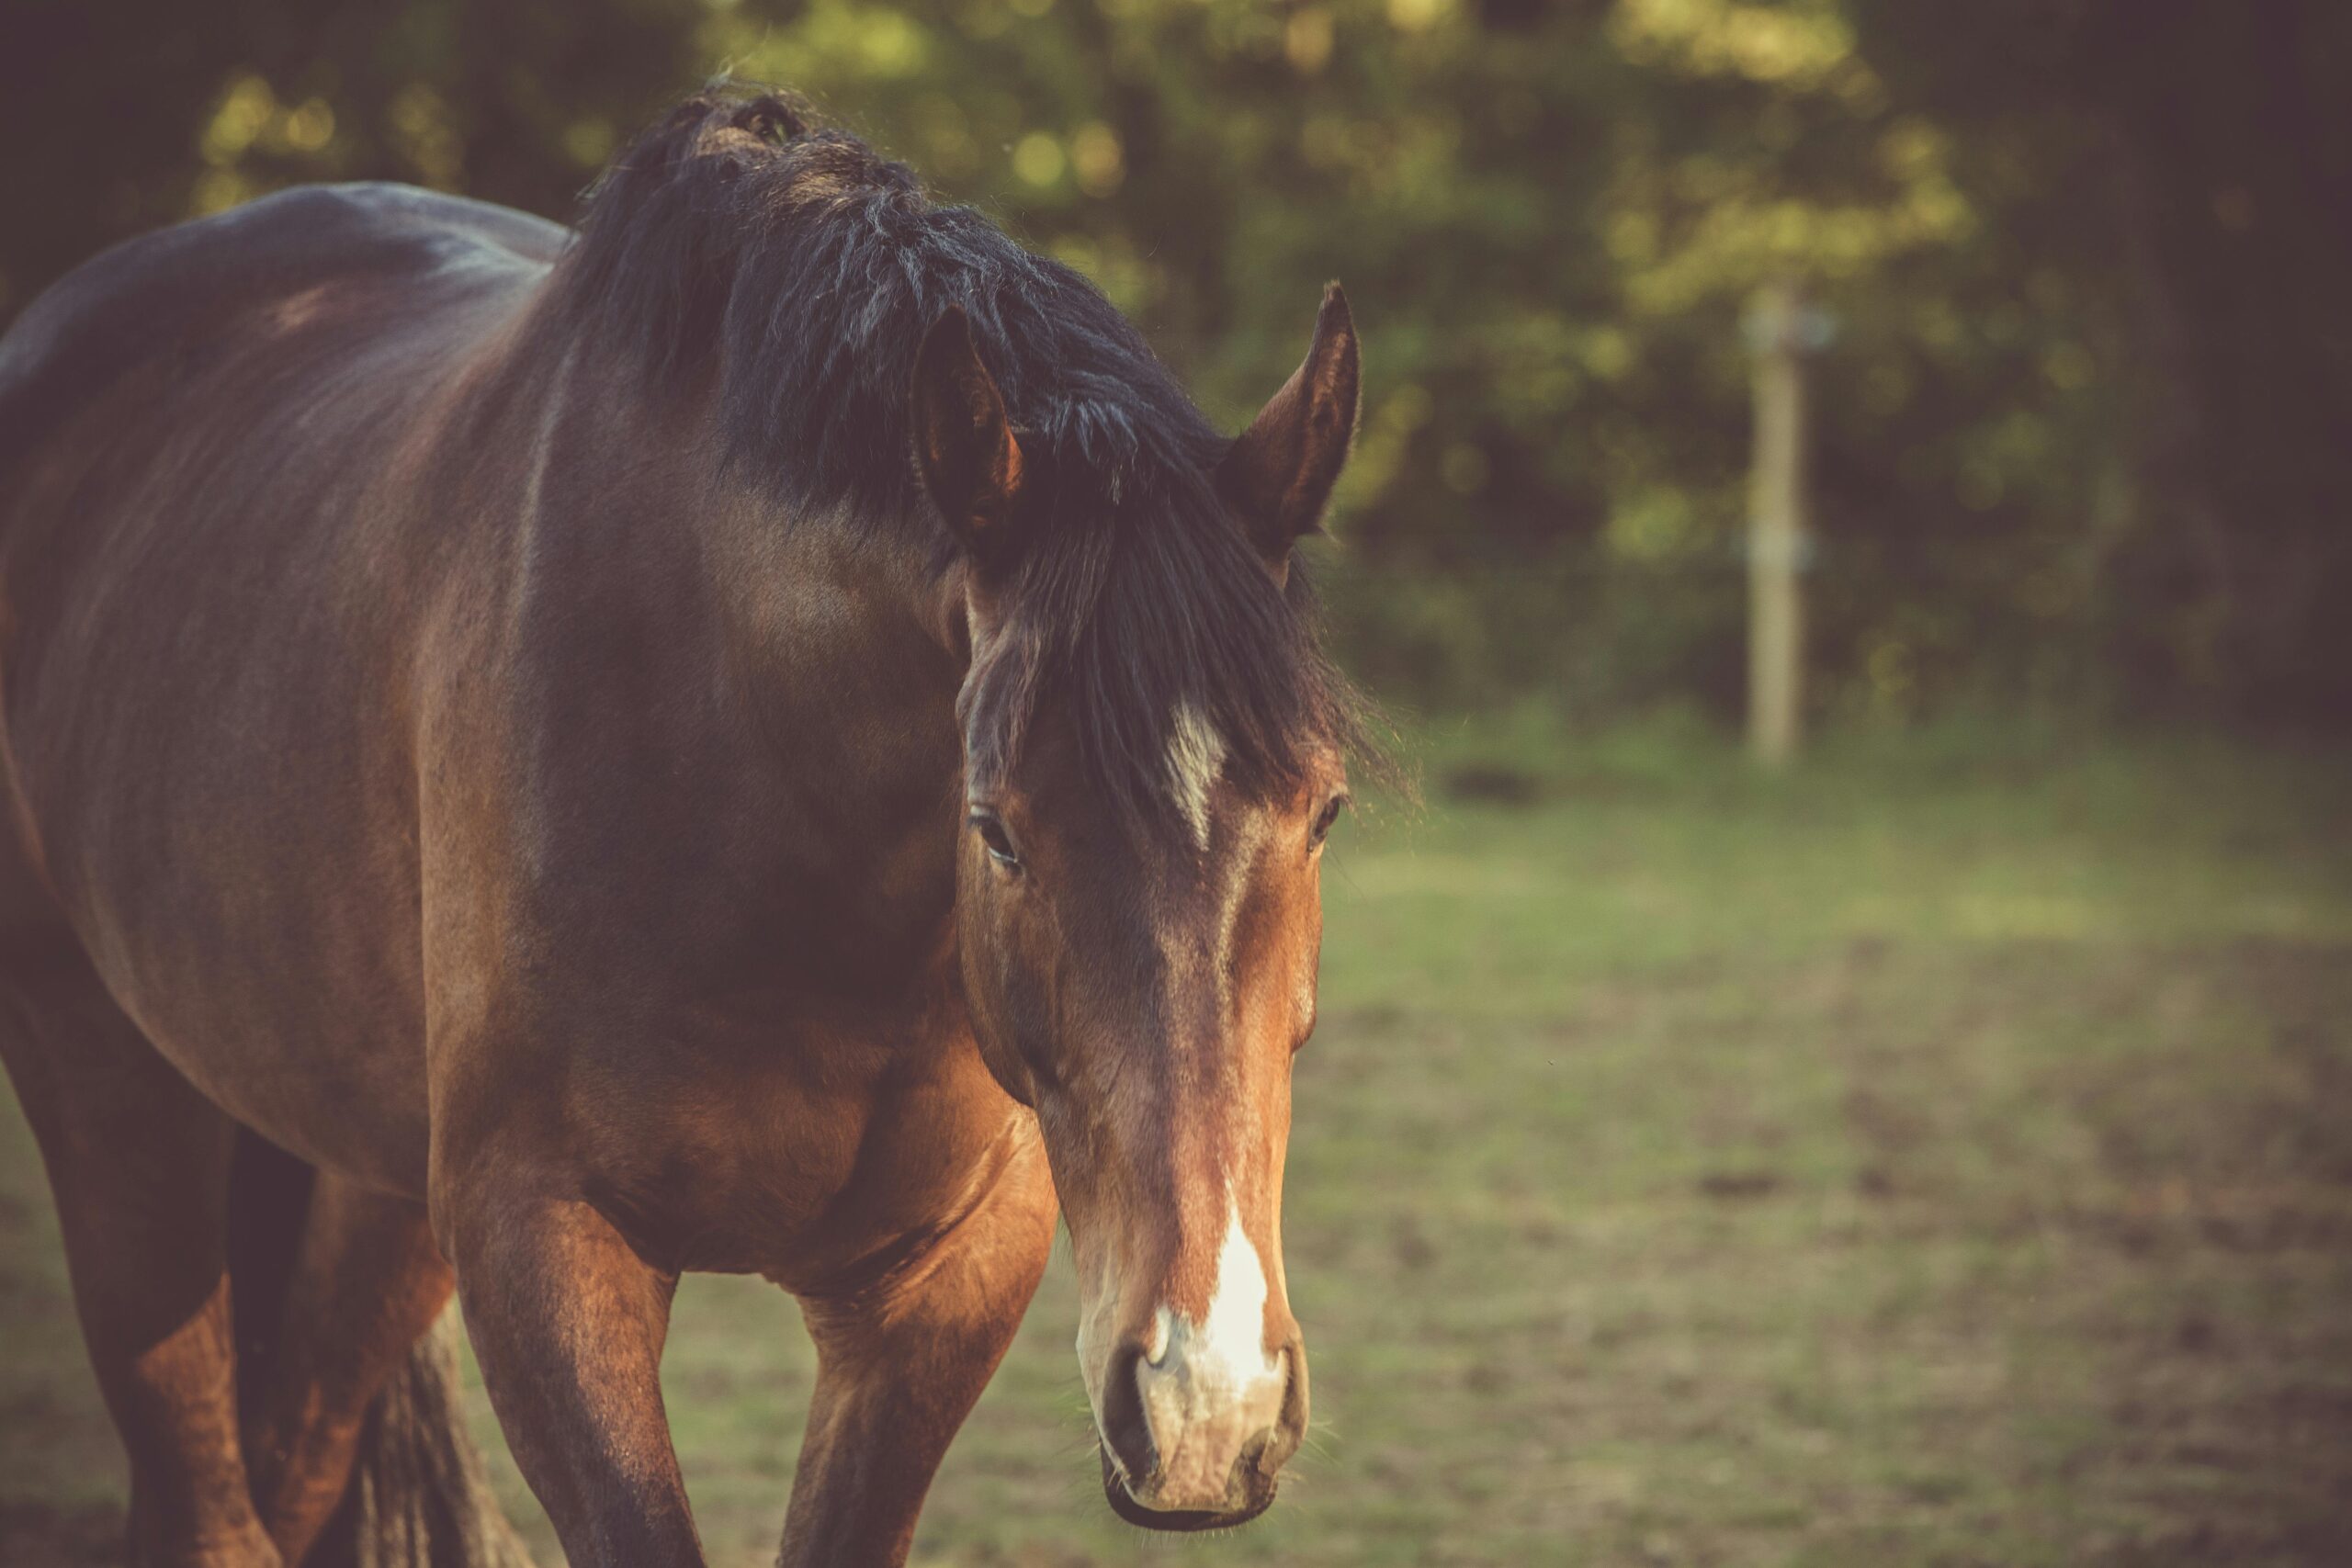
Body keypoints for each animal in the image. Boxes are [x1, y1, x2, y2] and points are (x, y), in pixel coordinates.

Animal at [0, 87, 1368, 1567]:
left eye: (1324, 812)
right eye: (996, 828)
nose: (1205, 1400)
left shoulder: (942, 1281)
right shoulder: (545, 1249)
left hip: (372, 1198)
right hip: (110, 1091)